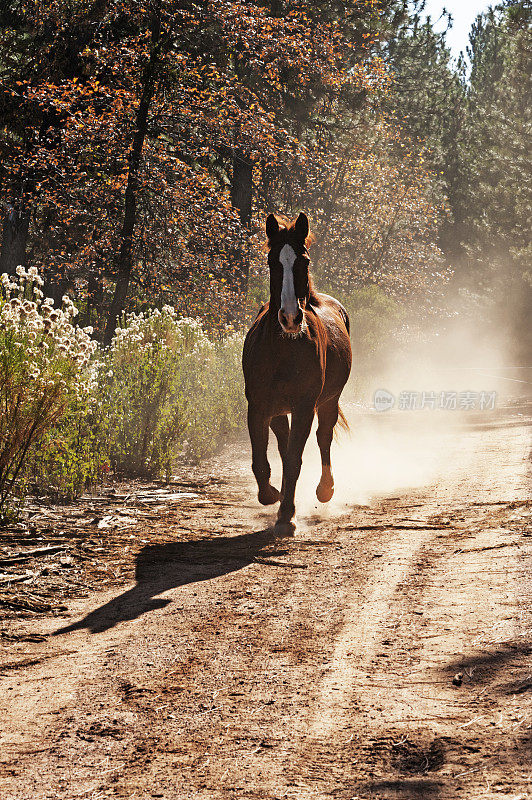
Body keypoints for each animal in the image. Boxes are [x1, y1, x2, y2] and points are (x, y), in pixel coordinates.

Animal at [242, 212, 352, 532]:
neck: (283, 350)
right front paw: (273, 496)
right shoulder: (259, 407)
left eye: (304, 260)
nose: (290, 318)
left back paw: (325, 489)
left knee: (323, 437)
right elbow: (261, 461)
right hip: (280, 411)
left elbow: (294, 460)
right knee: (282, 444)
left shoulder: (304, 406)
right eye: (272, 262)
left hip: (329, 401)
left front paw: (286, 516)